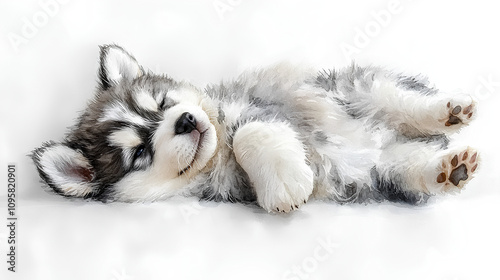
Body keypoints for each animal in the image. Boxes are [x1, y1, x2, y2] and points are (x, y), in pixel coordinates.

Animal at [30, 45, 476, 212]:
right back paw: (450, 168)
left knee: (398, 101)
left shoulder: (260, 107)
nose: (186, 120)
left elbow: (249, 131)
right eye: (139, 152)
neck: (216, 153)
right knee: (414, 168)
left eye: (162, 104)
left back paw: (449, 111)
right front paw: (287, 185)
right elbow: (249, 135)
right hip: (385, 170)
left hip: (353, 89)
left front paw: (285, 180)